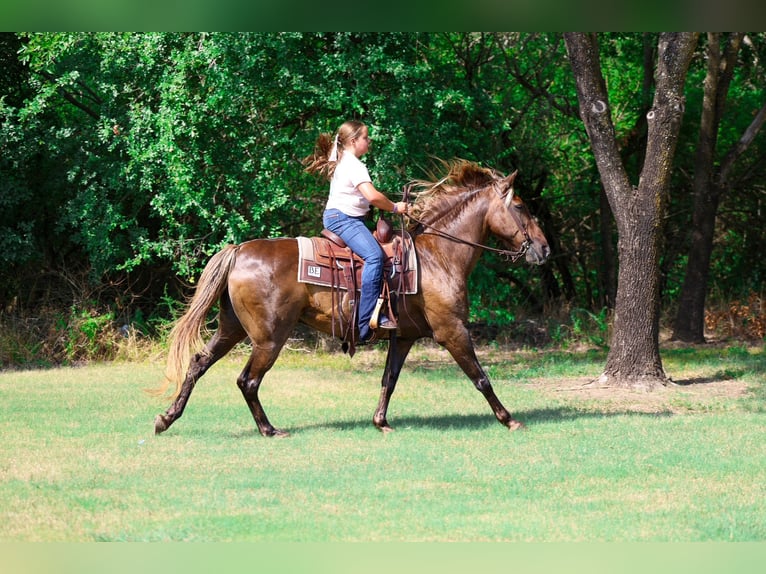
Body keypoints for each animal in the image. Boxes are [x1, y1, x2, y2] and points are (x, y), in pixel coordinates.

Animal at [153, 159, 550, 437]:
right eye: (520, 207)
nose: (544, 249)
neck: (438, 256)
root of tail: (238, 251)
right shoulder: (452, 331)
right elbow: (481, 377)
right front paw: (509, 420)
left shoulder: (404, 337)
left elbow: (389, 379)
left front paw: (380, 421)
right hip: (269, 338)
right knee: (247, 381)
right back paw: (269, 430)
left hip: (231, 328)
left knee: (198, 363)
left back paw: (166, 418)